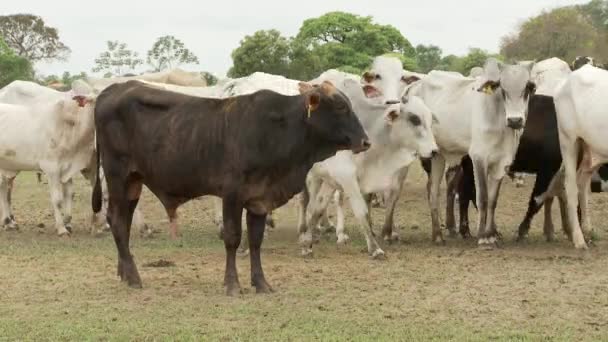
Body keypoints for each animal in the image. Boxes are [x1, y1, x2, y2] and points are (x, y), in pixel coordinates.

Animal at [92, 79, 368, 296]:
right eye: (341, 107)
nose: (366, 141)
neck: (275, 130)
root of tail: (113, 89)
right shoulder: (232, 195)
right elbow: (233, 238)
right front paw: (232, 284)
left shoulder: (259, 199)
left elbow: (255, 242)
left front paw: (261, 283)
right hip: (118, 177)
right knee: (118, 222)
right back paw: (134, 277)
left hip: (133, 183)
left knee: (122, 222)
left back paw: (125, 272)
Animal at [298, 79, 436, 256]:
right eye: (415, 119)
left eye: (430, 120)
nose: (434, 151)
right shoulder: (347, 178)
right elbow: (361, 211)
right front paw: (375, 248)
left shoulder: (332, 180)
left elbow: (318, 208)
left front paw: (307, 246)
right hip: (309, 177)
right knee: (305, 202)